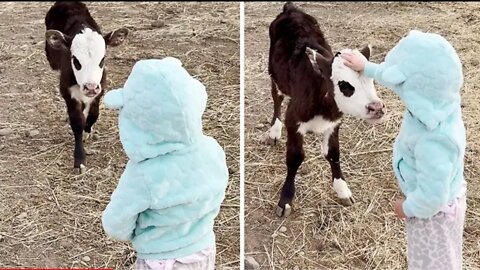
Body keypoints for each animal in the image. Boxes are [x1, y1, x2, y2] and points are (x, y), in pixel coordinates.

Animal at [43, 1, 127, 173]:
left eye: (102, 60)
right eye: (75, 60)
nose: (90, 87)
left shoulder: (101, 86)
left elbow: (94, 112)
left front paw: (88, 130)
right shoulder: (67, 90)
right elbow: (76, 121)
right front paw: (79, 160)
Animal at [266, 2, 386, 217]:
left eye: (372, 80)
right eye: (344, 85)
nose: (377, 108)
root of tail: (291, 9)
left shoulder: (334, 123)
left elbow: (333, 153)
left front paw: (342, 189)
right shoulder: (293, 120)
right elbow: (295, 158)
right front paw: (285, 200)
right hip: (274, 73)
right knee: (276, 98)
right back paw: (274, 131)